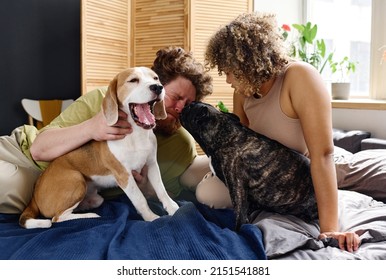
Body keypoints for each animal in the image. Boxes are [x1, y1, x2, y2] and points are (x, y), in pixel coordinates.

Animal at [179, 101, 318, 229]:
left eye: (190, 107)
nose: (183, 106)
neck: (223, 134)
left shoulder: (237, 187)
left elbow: (239, 214)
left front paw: (238, 230)